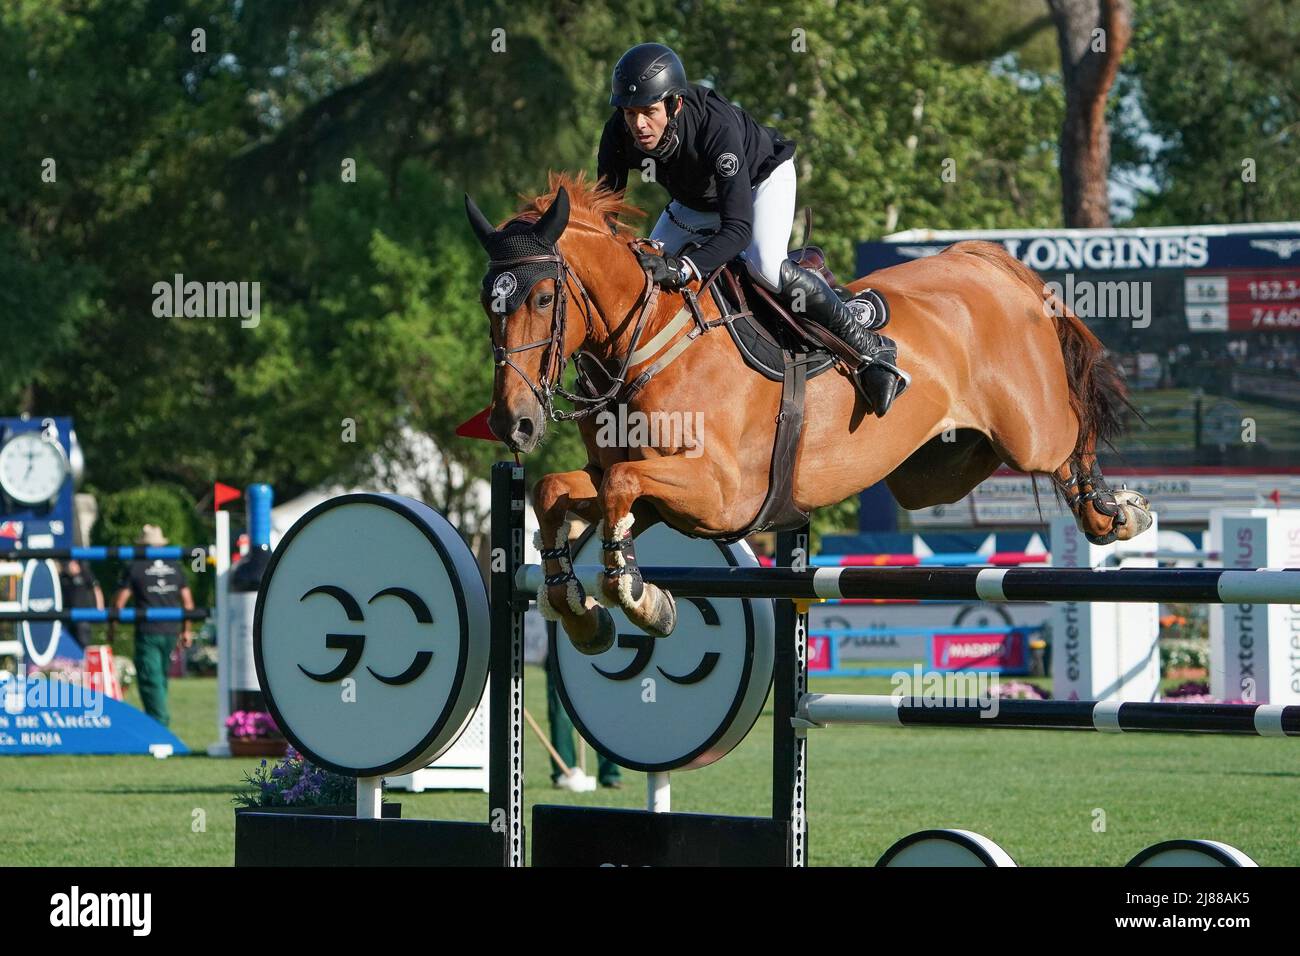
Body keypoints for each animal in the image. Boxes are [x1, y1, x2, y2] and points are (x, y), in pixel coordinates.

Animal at [470, 171, 1159, 655]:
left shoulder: (719, 494)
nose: (513, 424)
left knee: (1069, 437)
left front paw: (641, 600)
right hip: (932, 470)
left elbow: (619, 485)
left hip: (1028, 432)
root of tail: (984, 260)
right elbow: (560, 490)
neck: (647, 340)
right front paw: (580, 610)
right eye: (487, 302)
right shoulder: (654, 492)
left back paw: (1114, 512)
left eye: (541, 296)